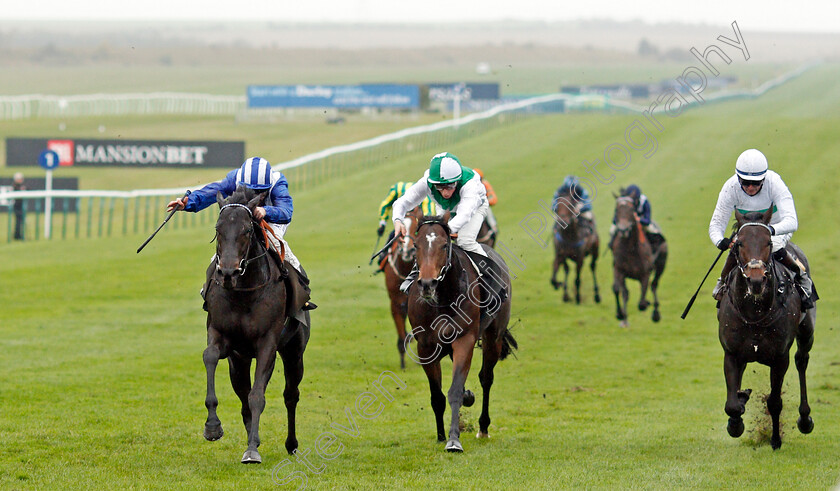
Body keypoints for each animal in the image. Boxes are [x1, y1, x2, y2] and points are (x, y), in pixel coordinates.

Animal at [202, 185, 310, 466]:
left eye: (247, 230)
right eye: (218, 229)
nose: (227, 273)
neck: (243, 293)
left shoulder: (267, 343)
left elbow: (258, 396)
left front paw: (251, 450)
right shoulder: (221, 336)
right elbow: (210, 356)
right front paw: (212, 426)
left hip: (294, 351)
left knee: (290, 395)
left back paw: (291, 444)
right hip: (239, 361)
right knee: (243, 393)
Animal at [404, 215, 516, 454]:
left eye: (444, 245)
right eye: (416, 245)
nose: (427, 284)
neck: (444, 299)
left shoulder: (464, 340)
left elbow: (454, 390)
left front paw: (454, 439)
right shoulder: (425, 347)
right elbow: (437, 396)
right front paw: (440, 435)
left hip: (494, 336)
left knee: (486, 377)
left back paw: (483, 427)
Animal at [612, 195, 668, 326]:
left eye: (631, 210)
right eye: (617, 210)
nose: (623, 230)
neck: (630, 249)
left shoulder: (645, 274)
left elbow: (642, 303)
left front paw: (647, 303)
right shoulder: (619, 270)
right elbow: (621, 291)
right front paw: (622, 316)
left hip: (661, 264)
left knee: (654, 284)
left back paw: (656, 313)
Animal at [720, 208, 812, 450]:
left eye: (768, 242)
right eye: (739, 243)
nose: (756, 280)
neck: (755, 313)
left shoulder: (780, 358)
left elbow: (775, 402)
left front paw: (775, 440)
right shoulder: (731, 353)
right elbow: (732, 404)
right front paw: (736, 421)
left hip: (806, 332)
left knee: (802, 360)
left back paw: (805, 419)